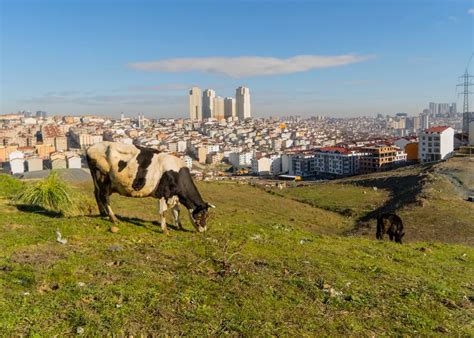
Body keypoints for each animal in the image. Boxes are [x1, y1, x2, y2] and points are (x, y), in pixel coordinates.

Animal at [85, 141, 215, 234]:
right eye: (201, 215)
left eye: (207, 215)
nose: (204, 229)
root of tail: (90, 148)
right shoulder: (164, 192)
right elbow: (163, 212)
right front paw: (165, 230)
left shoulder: (174, 195)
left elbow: (176, 211)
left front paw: (179, 226)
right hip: (103, 178)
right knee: (104, 197)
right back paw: (113, 218)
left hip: (97, 181)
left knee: (97, 194)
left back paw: (103, 214)